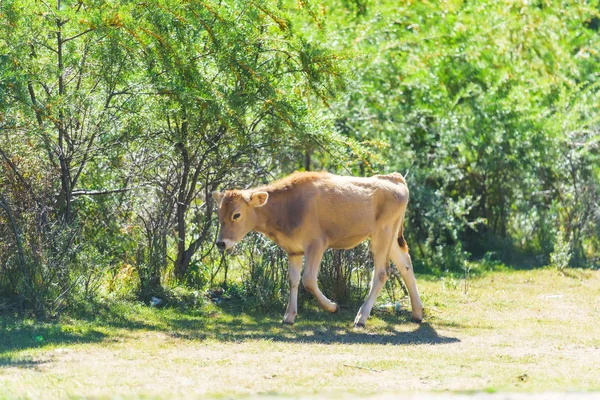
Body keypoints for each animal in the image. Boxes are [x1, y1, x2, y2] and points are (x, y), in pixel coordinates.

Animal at [213, 170, 424, 326]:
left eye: (237, 214)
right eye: (219, 213)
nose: (221, 243)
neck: (288, 206)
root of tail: (394, 178)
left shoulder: (316, 244)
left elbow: (308, 280)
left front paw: (333, 307)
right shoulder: (293, 250)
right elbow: (293, 280)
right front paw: (289, 316)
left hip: (383, 234)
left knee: (381, 273)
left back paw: (361, 317)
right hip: (390, 237)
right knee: (405, 265)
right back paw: (417, 313)